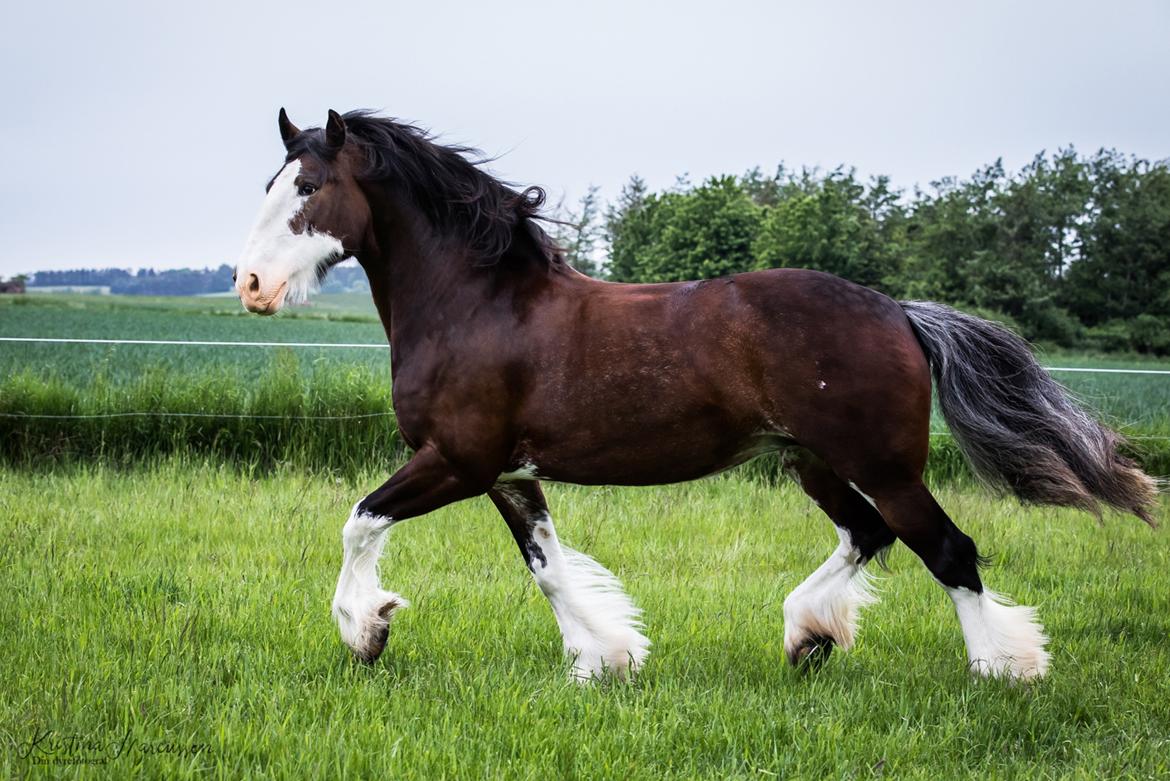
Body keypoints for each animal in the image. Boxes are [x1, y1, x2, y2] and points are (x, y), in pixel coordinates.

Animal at [232, 109, 1155, 682]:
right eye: (269, 185)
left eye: (308, 189)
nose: (250, 286)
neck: (477, 302)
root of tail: (897, 309)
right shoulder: (508, 474)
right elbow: (548, 568)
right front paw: (605, 658)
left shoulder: (457, 460)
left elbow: (360, 521)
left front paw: (368, 629)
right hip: (812, 460)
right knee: (870, 533)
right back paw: (807, 633)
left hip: (882, 463)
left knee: (948, 549)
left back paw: (1005, 668)